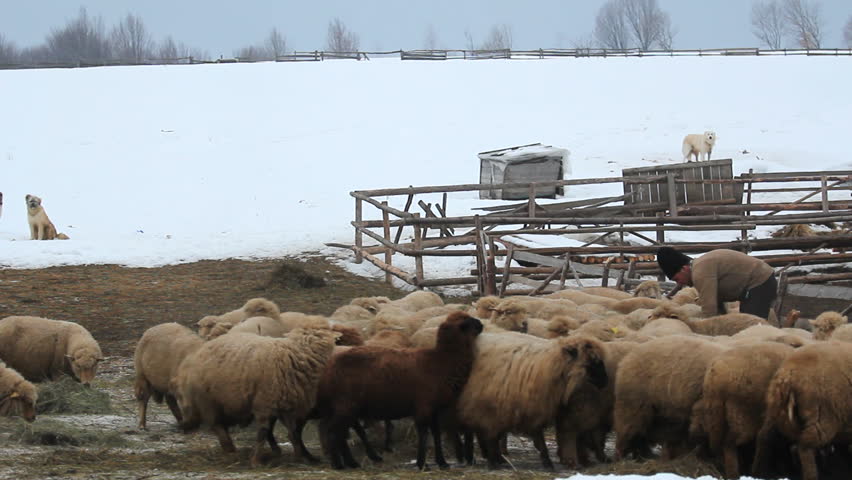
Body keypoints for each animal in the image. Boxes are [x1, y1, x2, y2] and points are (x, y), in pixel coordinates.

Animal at [172, 328, 339, 466]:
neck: (292, 355)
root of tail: (197, 355)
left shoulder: (285, 406)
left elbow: (293, 433)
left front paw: (300, 457)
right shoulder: (264, 403)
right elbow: (263, 432)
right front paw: (256, 460)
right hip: (208, 401)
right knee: (217, 425)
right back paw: (229, 448)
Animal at [315, 311, 483, 470]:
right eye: (468, 322)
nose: (481, 324)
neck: (442, 360)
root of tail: (329, 369)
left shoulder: (434, 409)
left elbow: (435, 434)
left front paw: (442, 463)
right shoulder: (423, 406)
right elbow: (423, 434)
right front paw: (422, 464)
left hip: (346, 407)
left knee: (340, 434)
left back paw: (352, 463)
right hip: (345, 405)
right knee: (332, 432)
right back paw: (338, 464)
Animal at [456, 332, 608, 469]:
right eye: (592, 361)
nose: (605, 382)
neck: (548, 364)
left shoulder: (533, 409)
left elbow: (539, 439)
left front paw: (547, 462)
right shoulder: (491, 410)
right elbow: (492, 438)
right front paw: (493, 463)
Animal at [753, 342, 852, 480]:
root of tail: (788, 375)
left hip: (775, 411)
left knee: (764, 436)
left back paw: (759, 473)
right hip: (822, 416)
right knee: (805, 446)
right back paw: (812, 475)